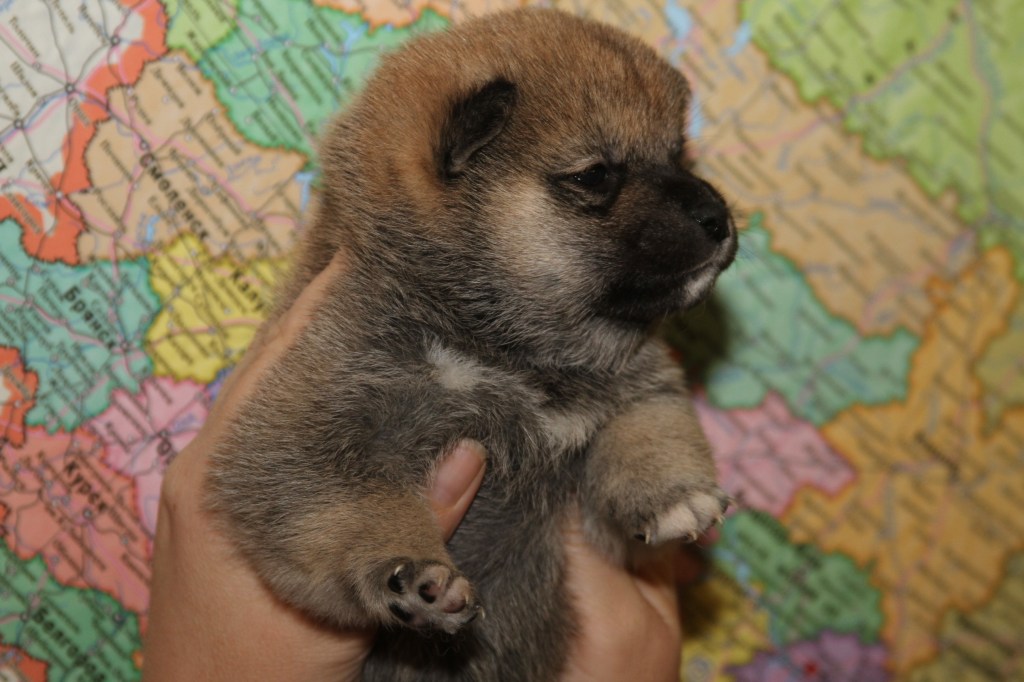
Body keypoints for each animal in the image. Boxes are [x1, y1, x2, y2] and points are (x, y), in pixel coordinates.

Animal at [206, 8, 737, 680]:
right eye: (596, 175)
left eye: (677, 157)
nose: (719, 216)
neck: (510, 357)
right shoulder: (311, 432)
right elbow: (345, 513)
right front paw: (409, 575)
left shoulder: (637, 389)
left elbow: (647, 427)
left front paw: (673, 498)